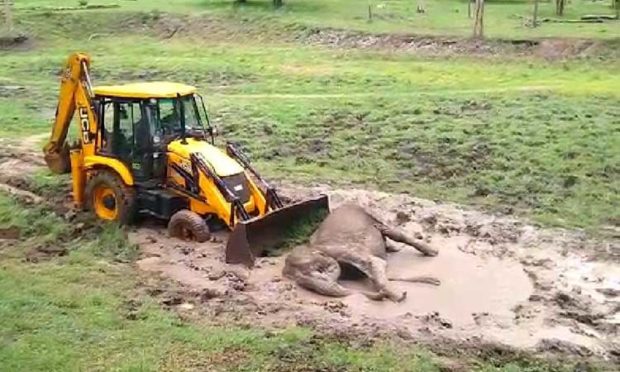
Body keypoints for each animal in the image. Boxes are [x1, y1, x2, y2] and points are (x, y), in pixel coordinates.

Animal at [284, 203, 438, 302]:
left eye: (316, 270)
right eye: (305, 285)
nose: (381, 295)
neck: (313, 247)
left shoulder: (344, 250)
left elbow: (374, 262)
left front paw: (399, 297)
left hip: (373, 214)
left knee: (392, 232)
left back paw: (431, 251)